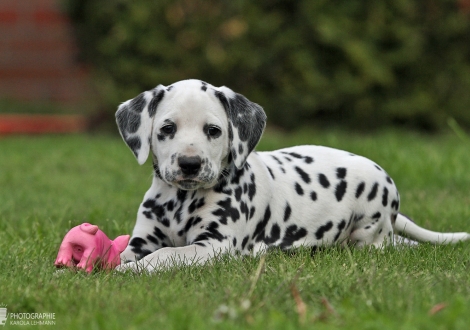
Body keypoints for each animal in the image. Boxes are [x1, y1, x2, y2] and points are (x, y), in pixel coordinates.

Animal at [114, 79, 470, 270]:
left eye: (213, 130)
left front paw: (136, 270)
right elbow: (127, 252)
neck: (181, 200)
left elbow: (168, 253)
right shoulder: (143, 238)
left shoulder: (215, 245)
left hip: (369, 229)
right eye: (167, 128)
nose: (190, 164)